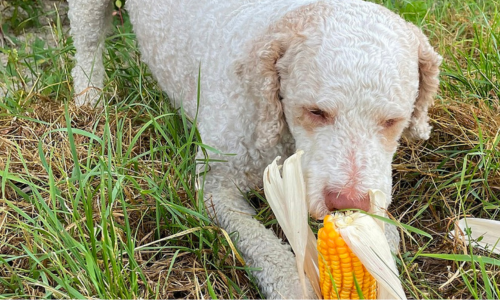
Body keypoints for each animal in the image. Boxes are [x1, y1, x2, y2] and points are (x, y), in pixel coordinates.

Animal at [68, 0, 440, 298]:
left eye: (393, 120)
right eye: (315, 111)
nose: (346, 202)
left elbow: (385, 232)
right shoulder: (216, 184)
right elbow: (264, 248)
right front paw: (295, 287)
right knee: (87, 41)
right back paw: (89, 98)